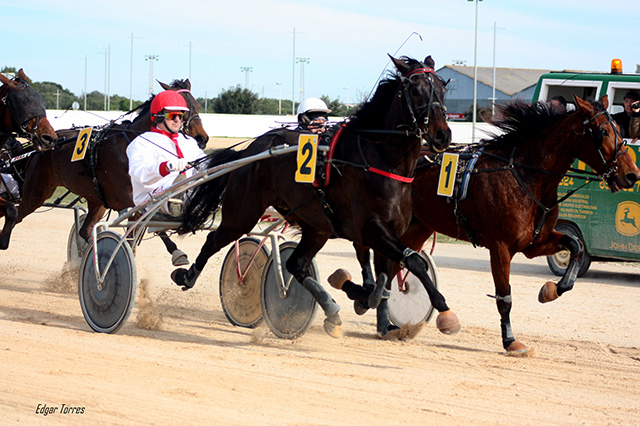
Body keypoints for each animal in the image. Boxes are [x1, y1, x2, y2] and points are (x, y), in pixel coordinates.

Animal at [171, 55, 458, 338]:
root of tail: (250, 151)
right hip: (243, 212)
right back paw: (187, 276)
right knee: (214, 240)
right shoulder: (371, 228)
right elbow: (414, 262)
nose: (442, 134)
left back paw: (332, 311)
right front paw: (445, 312)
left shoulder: (389, 231)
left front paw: (380, 315)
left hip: (316, 226)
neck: (381, 161)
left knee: (296, 264)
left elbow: (386, 277)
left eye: (443, 88)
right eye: (415, 89)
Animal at [373, 95, 639, 353]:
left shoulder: (536, 242)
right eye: (602, 132)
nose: (632, 174)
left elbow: (575, 246)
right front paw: (511, 341)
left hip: (419, 226)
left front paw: (551, 290)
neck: (525, 176)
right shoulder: (500, 247)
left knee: (395, 266)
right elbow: (505, 298)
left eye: (618, 128)